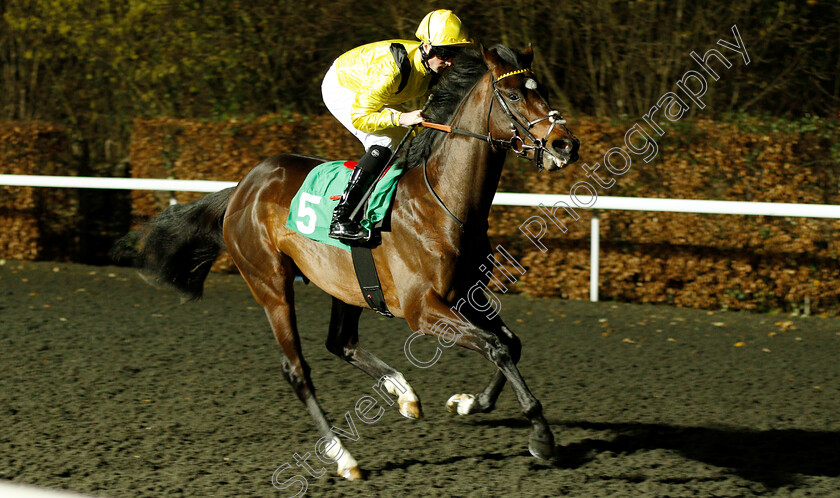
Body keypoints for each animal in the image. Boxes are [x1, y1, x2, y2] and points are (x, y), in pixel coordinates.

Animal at [111, 44, 576, 480]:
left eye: (543, 90)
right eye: (513, 95)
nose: (565, 144)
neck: (442, 203)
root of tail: (241, 188)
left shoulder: (466, 294)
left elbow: (509, 343)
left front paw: (467, 404)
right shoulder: (422, 310)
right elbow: (496, 346)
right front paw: (542, 437)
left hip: (349, 285)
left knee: (341, 342)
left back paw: (404, 394)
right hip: (270, 285)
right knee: (297, 370)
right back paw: (344, 457)